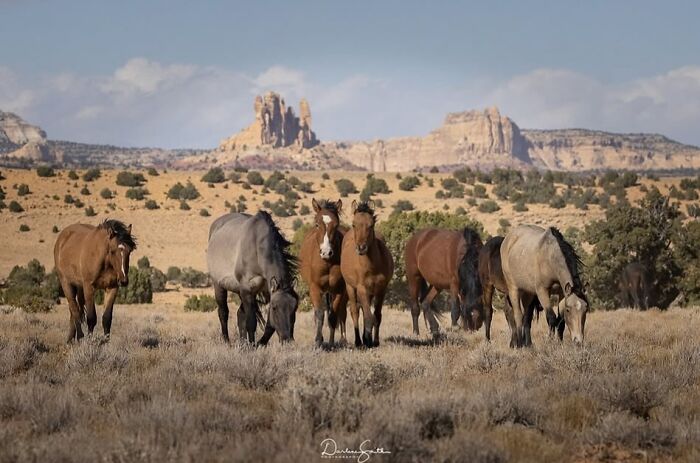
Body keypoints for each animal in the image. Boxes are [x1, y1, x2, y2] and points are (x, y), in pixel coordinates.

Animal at [207, 211, 299, 345]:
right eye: (275, 308)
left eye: (295, 308)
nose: (287, 339)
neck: (257, 247)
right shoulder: (247, 290)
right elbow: (251, 323)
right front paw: (252, 345)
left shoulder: (265, 291)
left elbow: (269, 326)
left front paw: (259, 343)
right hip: (219, 286)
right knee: (223, 313)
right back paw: (227, 342)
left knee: (240, 314)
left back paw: (242, 343)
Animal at [299, 199, 348, 346]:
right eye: (317, 224)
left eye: (336, 225)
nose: (326, 252)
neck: (327, 263)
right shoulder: (315, 288)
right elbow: (319, 314)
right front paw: (318, 341)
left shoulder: (338, 290)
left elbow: (333, 316)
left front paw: (331, 343)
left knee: (341, 313)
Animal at [340, 200, 394, 347]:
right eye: (354, 224)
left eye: (371, 225)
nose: (361, 248)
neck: (372, 266)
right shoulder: (362, 289)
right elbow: (368, 317)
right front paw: (367, 341)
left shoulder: (381, 289)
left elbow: (377, 316)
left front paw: (374, 341)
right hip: (350, 288)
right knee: (355, 312)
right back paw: (359, 341)